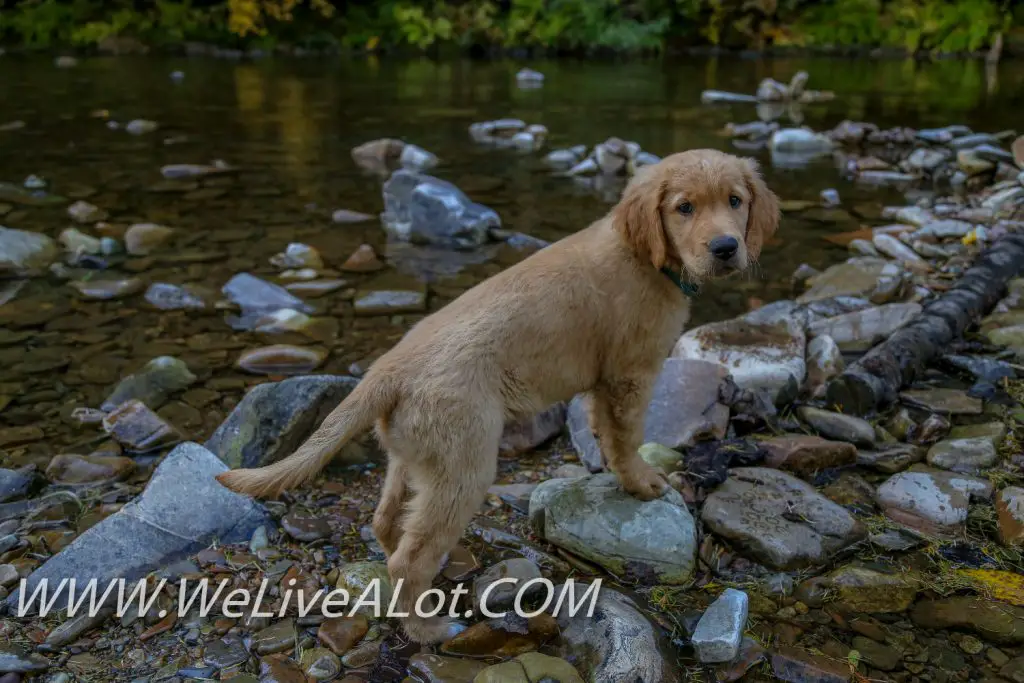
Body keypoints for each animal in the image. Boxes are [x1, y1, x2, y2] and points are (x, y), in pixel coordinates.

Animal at [216, 147, 774, 643]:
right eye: (684, 208)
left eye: (735, 200)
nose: (726, 247)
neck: (645, 258)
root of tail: (386, 370)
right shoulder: (631, 372)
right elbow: (626, 437)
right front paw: (641, 482)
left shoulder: (603, 381)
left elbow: (603, 431)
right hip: (464, 463)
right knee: (408, 559)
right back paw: (428, 628)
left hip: (415, 454)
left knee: (388, 521)